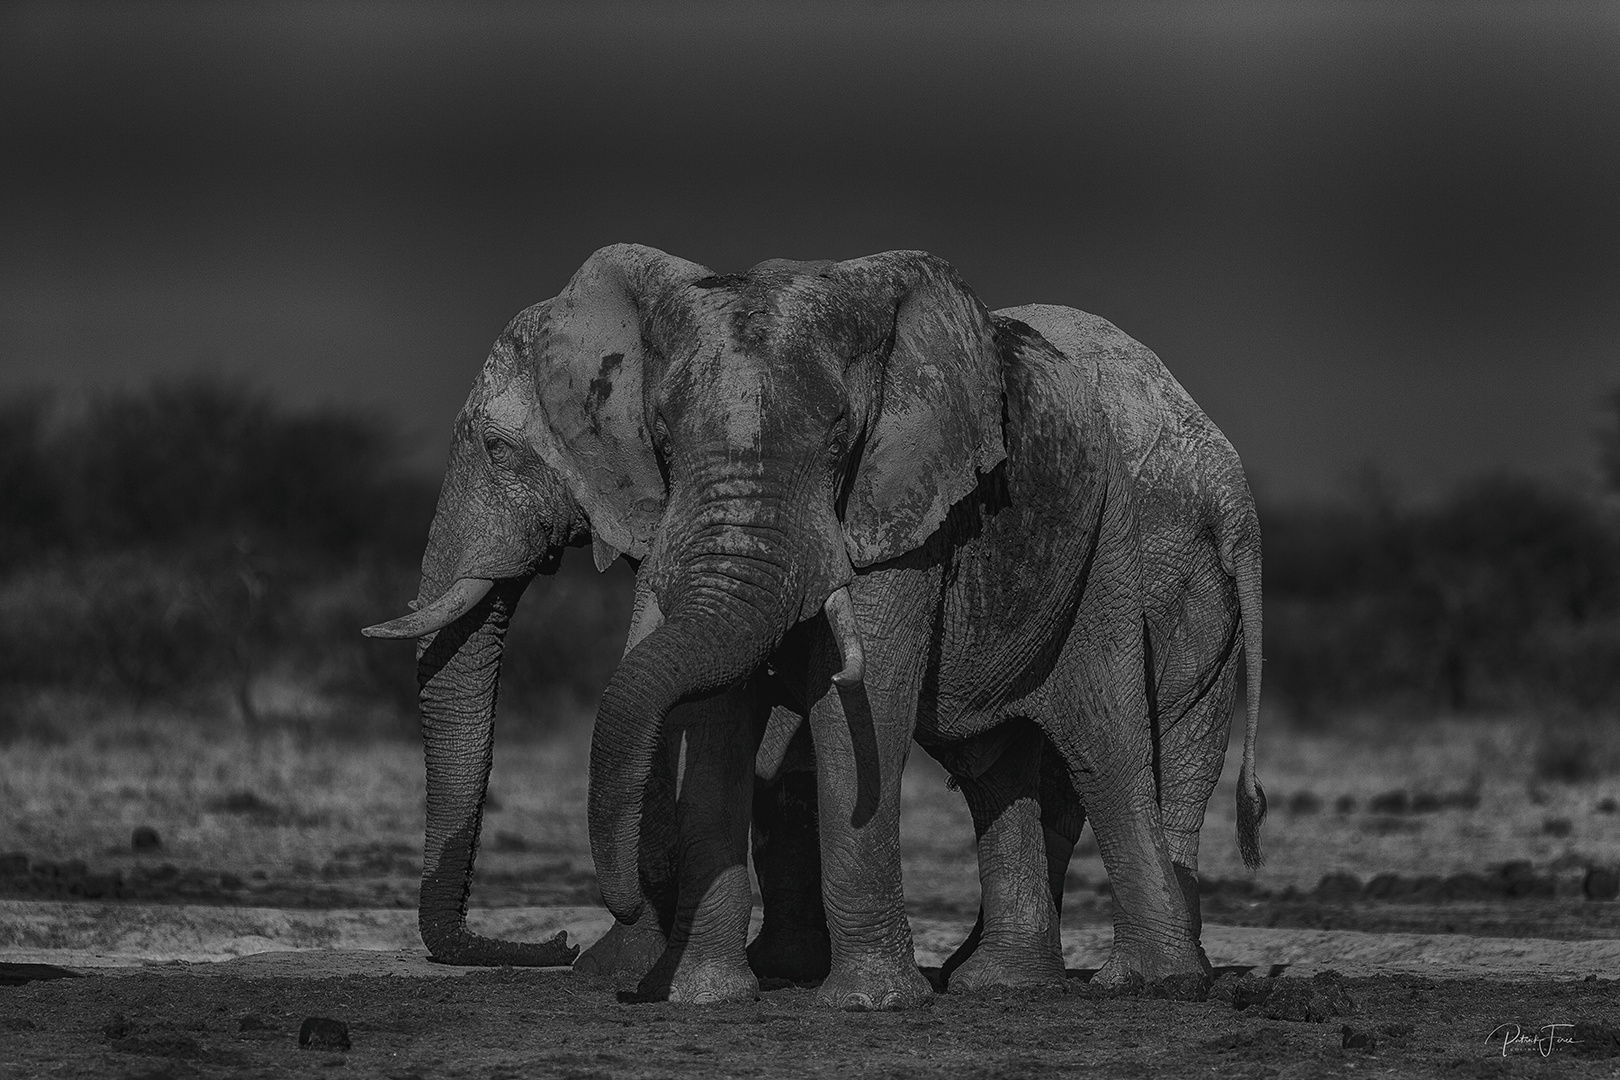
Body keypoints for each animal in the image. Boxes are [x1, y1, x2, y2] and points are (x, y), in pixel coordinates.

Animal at [367, 241, 1218, 1010]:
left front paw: (871, 1004)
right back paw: (1007, 986)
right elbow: (709, 712)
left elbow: (856, 710)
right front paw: (700, 997)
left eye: (841, 441)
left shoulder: (899, 499)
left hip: (1107, 536)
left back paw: (1156, 985)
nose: (559, 940)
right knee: (993, 768)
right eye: (662, 437)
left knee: (1105, 747)